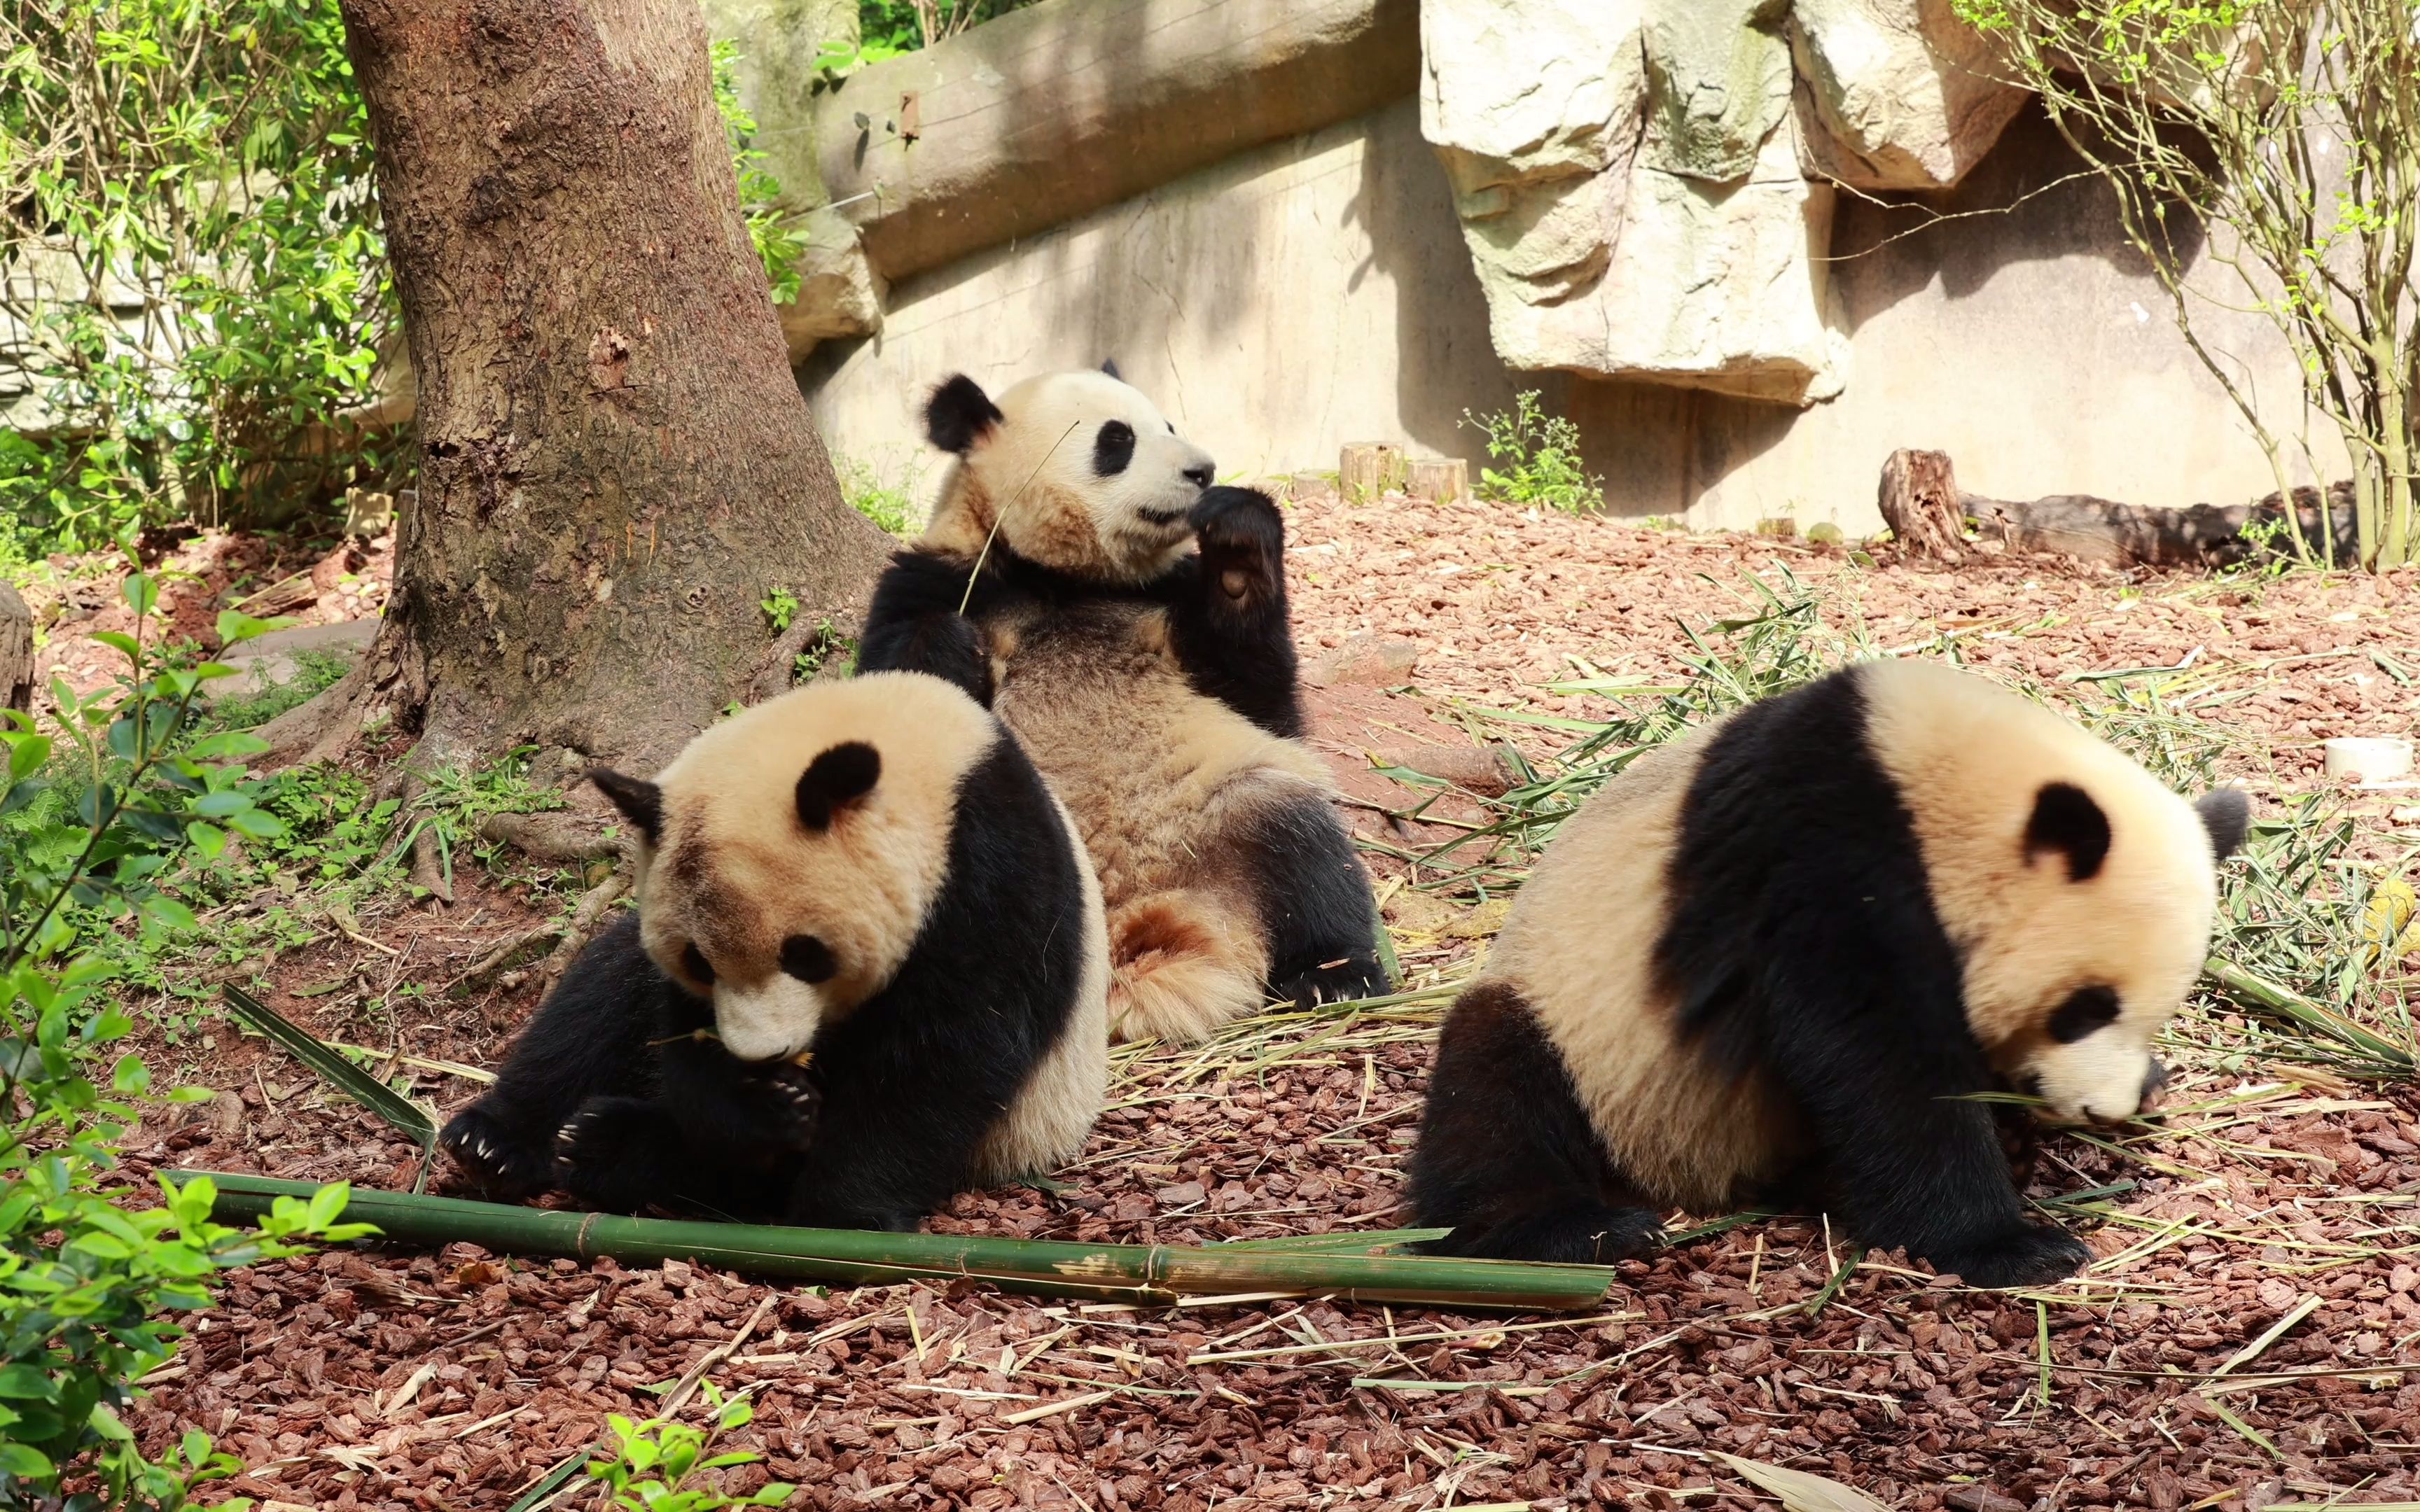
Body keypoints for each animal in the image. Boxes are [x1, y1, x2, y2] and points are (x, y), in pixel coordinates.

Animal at [436, 672, 1108, 1228]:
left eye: (805, 954)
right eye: (698, 962)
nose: (765, 1056)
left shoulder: (990, 880)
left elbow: (948, 1053)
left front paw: (842, 1214)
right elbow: (680, 1037)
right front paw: (766, 1107)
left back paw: (605, 1144)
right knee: (594, 1004)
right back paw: (504, 1142)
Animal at [856, 370, 1393, 1044]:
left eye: (1168, 423)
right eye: (1117, 441)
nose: (1202, 470)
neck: (1062, 579)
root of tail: (1142, 924)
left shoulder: (1166, 601)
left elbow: (1262, 699)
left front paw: (1238, 550)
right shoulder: (933, 577)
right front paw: (949, 645)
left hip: (1223, 814)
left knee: (1304, 845)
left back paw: (1333, 976)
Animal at [1403, 658, 2246, 1287]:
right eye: (2084, 1007)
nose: (2106, 1108)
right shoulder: (1825, 860)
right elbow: (1879, 1066)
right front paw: (2014, 1246)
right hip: (1578, 1030)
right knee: (1495, 1090)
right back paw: (1580, 1231)